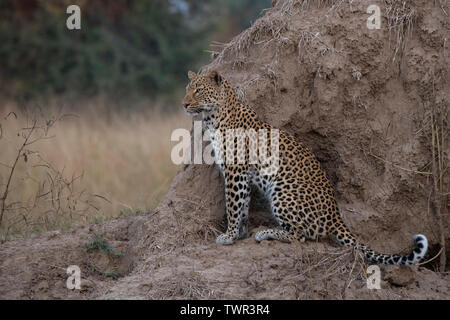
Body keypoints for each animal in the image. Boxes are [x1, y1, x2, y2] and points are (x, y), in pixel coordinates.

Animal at [181, 69, 428, 264]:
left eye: (198, 90)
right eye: (187, 89)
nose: (184, 104)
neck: (215, 116)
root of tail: (336, 215)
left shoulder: (235, 170)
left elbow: (233, 205)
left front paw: (229, 236)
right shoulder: (241, 175)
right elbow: (242, 205)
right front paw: (239, 233)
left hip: (284, 190)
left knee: (300, 235)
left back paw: (267, 233)